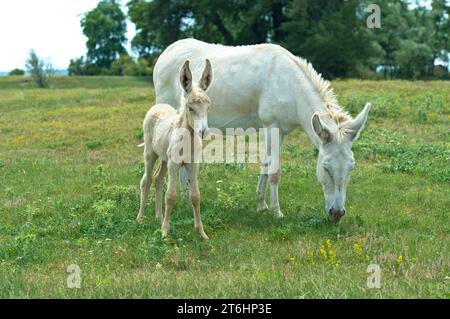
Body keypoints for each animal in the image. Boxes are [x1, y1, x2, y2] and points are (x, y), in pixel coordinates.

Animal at [137, 60, 213, 240]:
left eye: (208, 107)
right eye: (191, 108)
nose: (203, 131)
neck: (188, 140)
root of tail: (158, 106)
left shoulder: (193, 164)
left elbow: (195, 196)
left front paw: (201, 233)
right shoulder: (174, 164)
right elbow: (170, 196)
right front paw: (165, 232)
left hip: (164, 157)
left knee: (157, 179)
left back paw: (158, 217)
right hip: (150, 153)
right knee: (146, 180)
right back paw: (141, 218)